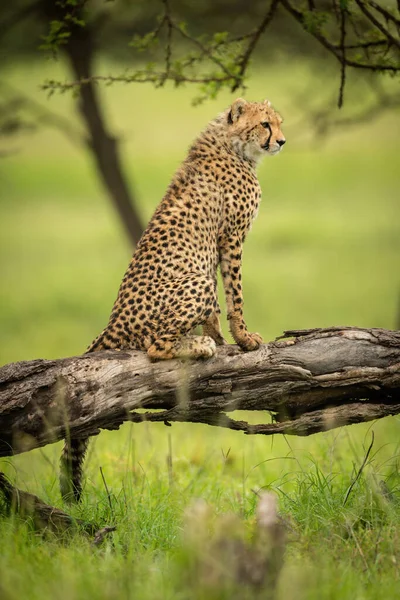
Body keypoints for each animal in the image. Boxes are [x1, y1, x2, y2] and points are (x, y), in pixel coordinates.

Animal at [58, 99, 284, 502]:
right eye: (264, 124)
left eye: (279, 123)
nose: (282, 141)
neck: (232, 144)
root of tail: (113, 322)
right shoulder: (231, 238)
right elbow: (235, 294)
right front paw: (242, 338)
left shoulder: (216, 246)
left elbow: (219, 305)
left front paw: (221, 335)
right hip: (194, 283)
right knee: (156, 346)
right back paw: (198, 346)